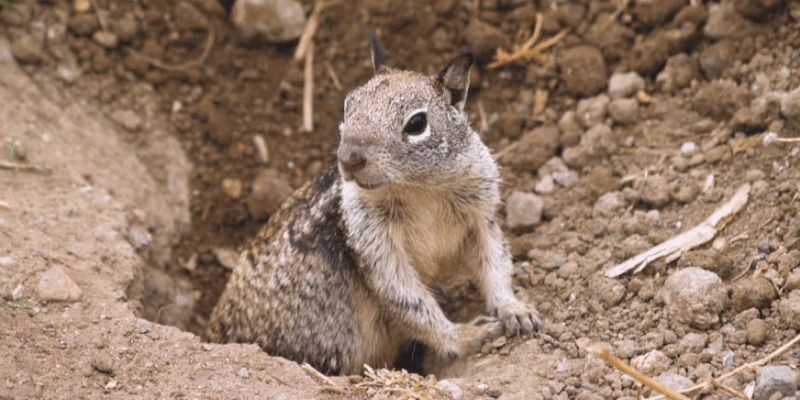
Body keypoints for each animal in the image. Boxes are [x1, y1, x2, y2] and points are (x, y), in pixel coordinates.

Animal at [206, 33, 544, 376]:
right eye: (348, 105)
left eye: (417, 123)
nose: (348, 158)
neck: (418, 189)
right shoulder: (374, 242)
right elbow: (407, 299)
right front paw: (467, 334)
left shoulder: (482, 212)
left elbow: (495, 261)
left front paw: (517, 310)